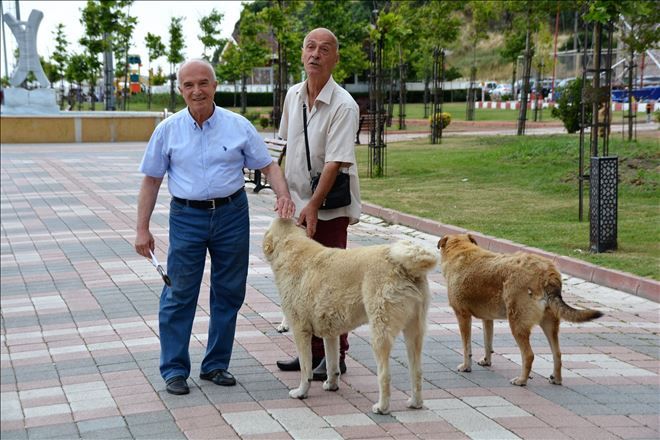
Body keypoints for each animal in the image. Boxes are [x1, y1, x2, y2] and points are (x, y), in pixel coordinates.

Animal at [262, 218, 438, 414]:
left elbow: (305, 369)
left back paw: (382, 407)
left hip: (380, 332)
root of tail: (403, 265)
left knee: (385, 375)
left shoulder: (301, 331)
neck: (292, 248)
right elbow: (332, 363)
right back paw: (416, 403)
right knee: (417, 371)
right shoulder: (330, 334)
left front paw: (301, 392)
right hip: (414, 331)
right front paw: (331, 385)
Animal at [438, 234, 604, 384]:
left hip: (517, 323)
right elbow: (488, 343)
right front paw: (486, 361)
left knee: (529, 355)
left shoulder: (462, 315)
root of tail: (547, 273)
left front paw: (466, 366)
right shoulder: (488, 319)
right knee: (557, 353)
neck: (460, 249)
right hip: (549, 324)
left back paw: (521, 380)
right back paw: (556, 379)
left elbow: (467, 347)